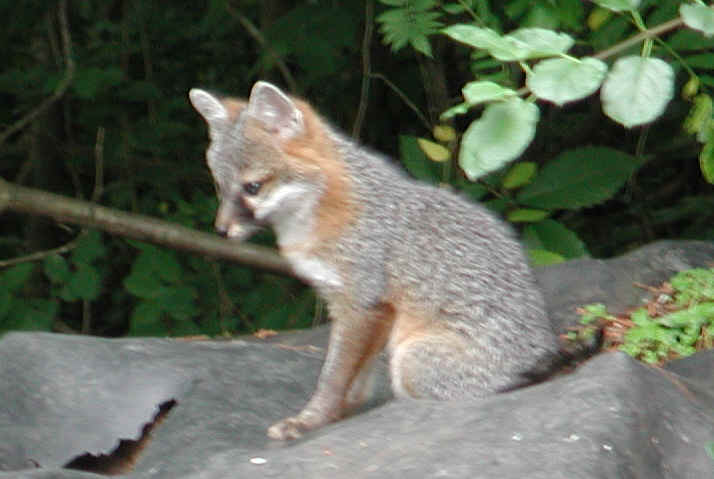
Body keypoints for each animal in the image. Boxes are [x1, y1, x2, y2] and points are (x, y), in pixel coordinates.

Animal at [188, 81, 561, 440]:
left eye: (252, 188)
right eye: (221, 188)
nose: (221, 230)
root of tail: (546, 351)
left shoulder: (362, 305)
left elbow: (333, 376)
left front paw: (310, 420)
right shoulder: (356, 306)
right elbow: (356, 376)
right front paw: (344, 410)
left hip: (410, 361)